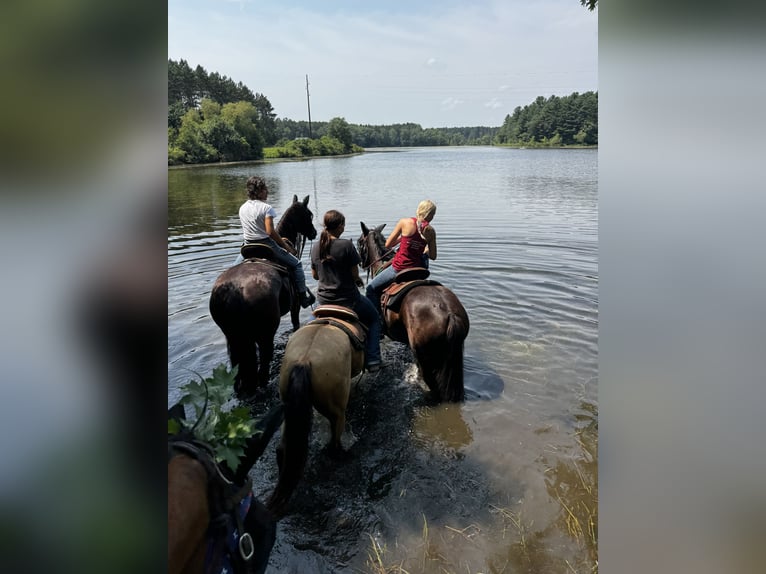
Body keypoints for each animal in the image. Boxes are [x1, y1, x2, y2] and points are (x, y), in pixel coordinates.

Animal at [209, 195, 318, 394]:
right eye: (309, 215)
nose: (314, 232)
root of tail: (234, 288)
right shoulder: (295, 307)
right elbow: (296, 324)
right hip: (265, 333)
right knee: (264, 362)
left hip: (233, 336)